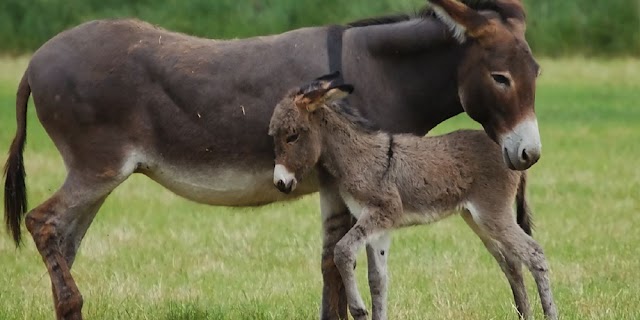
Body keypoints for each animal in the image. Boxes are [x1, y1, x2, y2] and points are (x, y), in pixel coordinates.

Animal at [268, 73, 556, 320]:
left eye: (292, 136)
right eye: (274, 137)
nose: (280, 183)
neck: (357, 157)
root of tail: (509, 155)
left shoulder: (383, 212)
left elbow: (342, 251)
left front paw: (358, 308)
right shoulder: (377, 225)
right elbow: (378, 281)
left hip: (493, 215)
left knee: (534, 254)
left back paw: (550, 313)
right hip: (478, 219)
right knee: (513, 264)